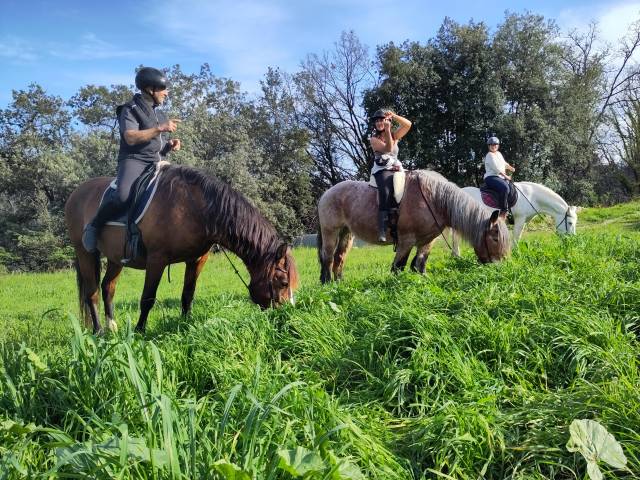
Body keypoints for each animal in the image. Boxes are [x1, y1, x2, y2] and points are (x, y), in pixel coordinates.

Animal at [63, 163, 298, 332]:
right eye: (284, 282)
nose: (287, 315)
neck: (195, 208)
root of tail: (75, 194)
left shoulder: (197, 259)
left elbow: (187, 294)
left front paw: (185, 324)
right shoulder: (157, 260)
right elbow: (147, 299)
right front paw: (140, 332)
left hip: (115, 259)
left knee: (108, 288)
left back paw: (112, 327)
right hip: (84, 253)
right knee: (92, 293)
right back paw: (99, 331)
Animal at [318, 170, 510, 284]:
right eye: (494, 238)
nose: (501, 267)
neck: (434, 199)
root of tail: (326, 194)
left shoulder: (427, 241)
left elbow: (419, 265)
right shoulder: (406, 240)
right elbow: (398, 267)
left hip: (346, 233)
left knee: (340, 257)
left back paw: (340, 282)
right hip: (330, 232)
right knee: (327, 257)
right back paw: (327, 283)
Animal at [450, 180, 580, 255]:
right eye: (570, 223)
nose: (572, 240)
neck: (531, 197)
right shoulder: (520, 220)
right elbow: (516, 237)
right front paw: (515, 253)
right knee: (456, 238)